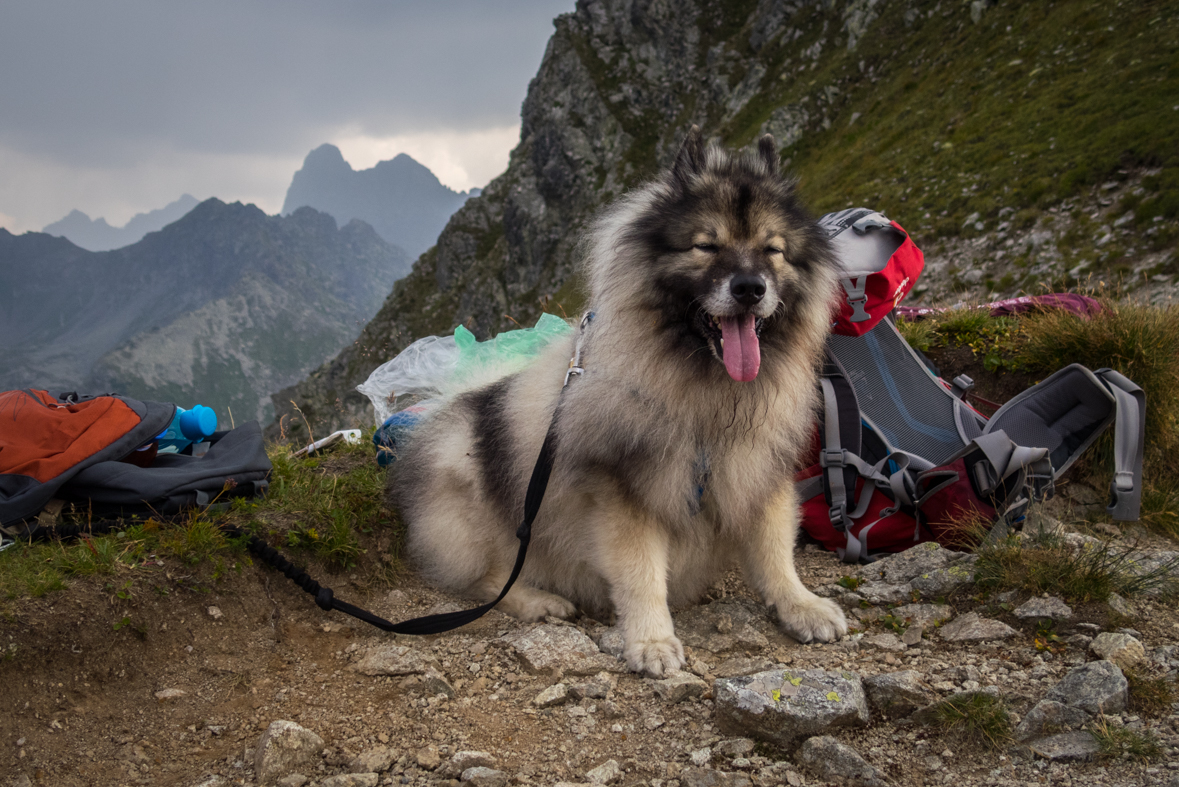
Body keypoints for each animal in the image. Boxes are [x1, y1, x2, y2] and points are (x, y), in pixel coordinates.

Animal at [396, 126, 848, 673]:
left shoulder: (760, 471)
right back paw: (539, 600)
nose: (749, 288)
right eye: (706, 245)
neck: (705, 391)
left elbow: (774, 549)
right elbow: (640, 573)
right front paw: (651, 640)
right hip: (469, 489)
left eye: (773, 250)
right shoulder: (626, 491)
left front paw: (800, 605)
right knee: (485, 580)